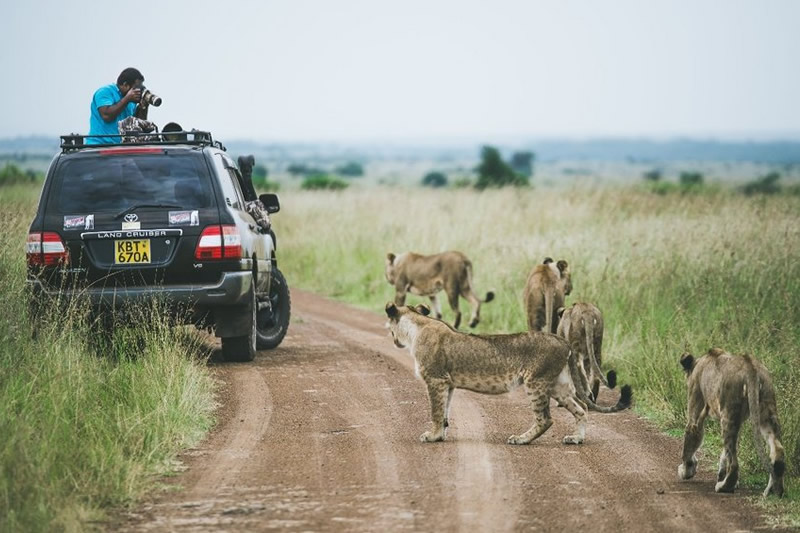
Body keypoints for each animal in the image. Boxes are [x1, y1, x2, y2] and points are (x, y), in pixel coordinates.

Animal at [386, 302, 632, 442]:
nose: (394, 341)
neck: (417, 326)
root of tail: (562, 340)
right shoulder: (448, 383)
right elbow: (445, 411)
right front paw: (440, 435)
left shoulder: (436, 379)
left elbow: (436, 411)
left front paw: (432, 436)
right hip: (557, 384)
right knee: (581, 408)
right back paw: (575, 438)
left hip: (536, 381)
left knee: (545, 419)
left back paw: (520, 439)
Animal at [680, 348, 784, 496]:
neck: (700, 362)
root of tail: (750, 367)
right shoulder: (738, 421)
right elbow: (726, 451)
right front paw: (722, 474)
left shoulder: (696, 408)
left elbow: (690, 440)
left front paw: (686, 471)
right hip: (766, 408)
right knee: (778, 449)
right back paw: (773, 491)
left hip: (728, 412)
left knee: (734, 463)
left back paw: (724, 487)